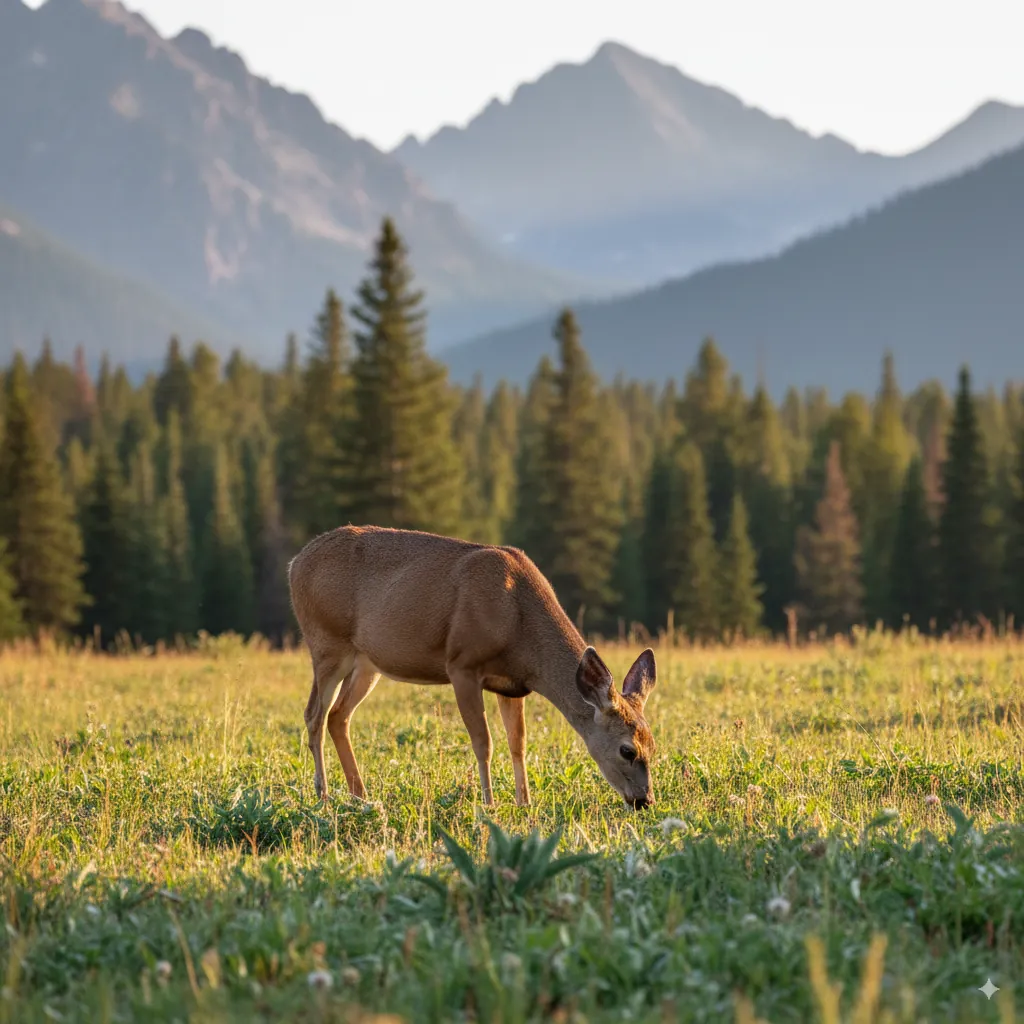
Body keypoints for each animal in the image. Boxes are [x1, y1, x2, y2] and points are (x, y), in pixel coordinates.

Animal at [288, 525, 658, 810]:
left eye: (654, 745)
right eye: (627, 750)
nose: (644, 801)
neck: (519, 625)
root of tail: (294, 564)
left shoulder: (513, 684)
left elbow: (518, 742)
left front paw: (525, 803)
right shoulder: (461, 665)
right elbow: (484, 741)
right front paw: (490, 804)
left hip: (367, 663)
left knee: (338, 715)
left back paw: (361, 796)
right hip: (326, 642)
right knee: (314, 714)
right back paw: (323, 795)